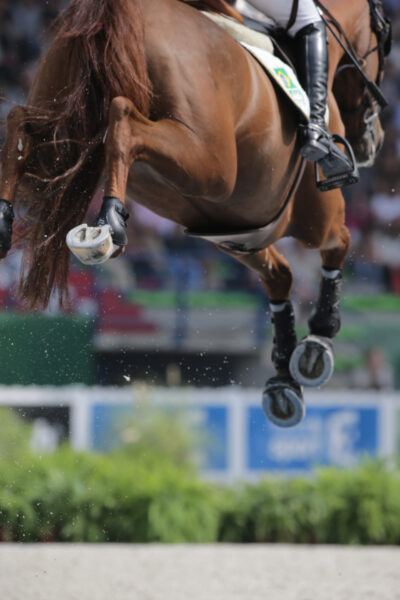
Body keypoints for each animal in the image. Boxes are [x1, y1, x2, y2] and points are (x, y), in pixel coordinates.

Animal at [0, 0, 390, 426]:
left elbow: (279, 277)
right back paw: (108, 225)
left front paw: (284, 379)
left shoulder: (239, 235)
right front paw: (318, 342)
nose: (374, 142)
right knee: (122, 122)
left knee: (21, 122)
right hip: (206, 161)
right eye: (384, 40)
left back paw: (6, 223)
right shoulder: (319, 217)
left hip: (63, 129)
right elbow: (339, 248)